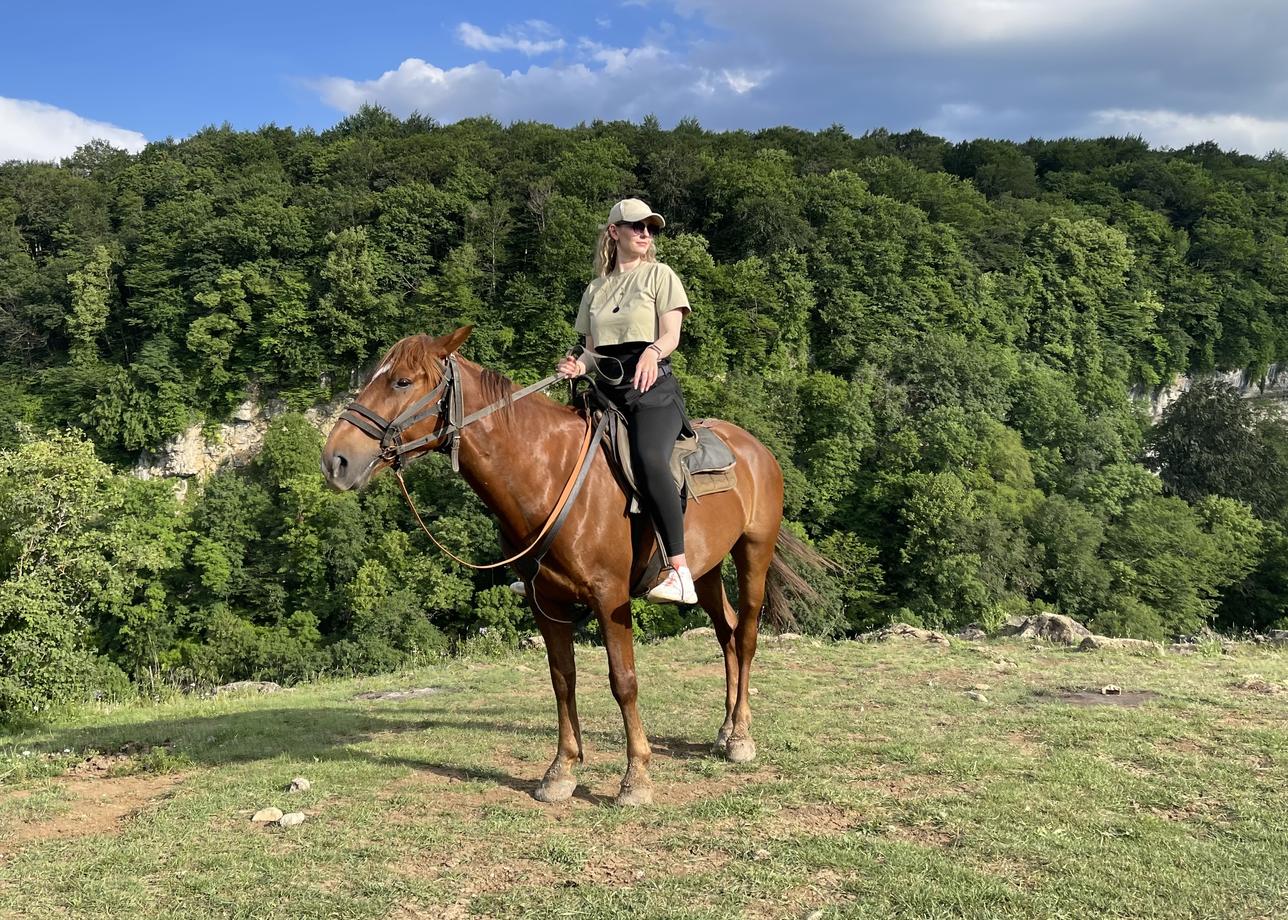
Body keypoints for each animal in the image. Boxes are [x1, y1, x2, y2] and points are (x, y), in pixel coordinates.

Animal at [324, 325, 824, 798]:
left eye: (402, 381)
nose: (335, 460)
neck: (550, 473)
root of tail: (756, 449)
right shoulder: (546, 602)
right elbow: (562, 678)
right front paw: (561, 770)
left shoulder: (610, 598)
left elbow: (623, 681)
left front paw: (636, 777)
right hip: (704, 572)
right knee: (726, 632)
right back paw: (725, 729)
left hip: (753, 552)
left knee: (747, 635)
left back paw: (740, 737)